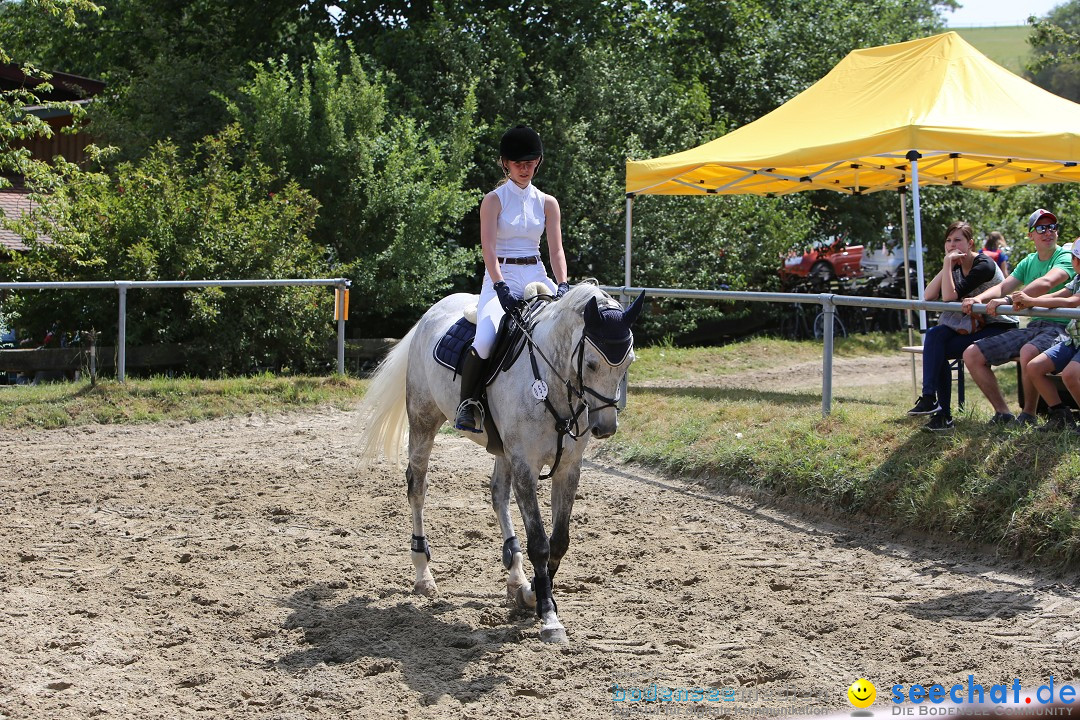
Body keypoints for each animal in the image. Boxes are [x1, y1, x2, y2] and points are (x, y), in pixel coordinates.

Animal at [356, 280, 639, 643]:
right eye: (591, 364)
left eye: (627, 363)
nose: (605, 428)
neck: (553, 383)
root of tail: (431, 312)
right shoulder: (525, 465)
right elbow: (540, 543)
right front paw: (548, 616)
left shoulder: (567, 468)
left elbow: (559, 541)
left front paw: (531, 593)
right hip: (423, 419)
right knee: (417, 487)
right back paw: (423, 575)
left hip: (503, 450)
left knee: (497, 495)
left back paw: (515, 575)